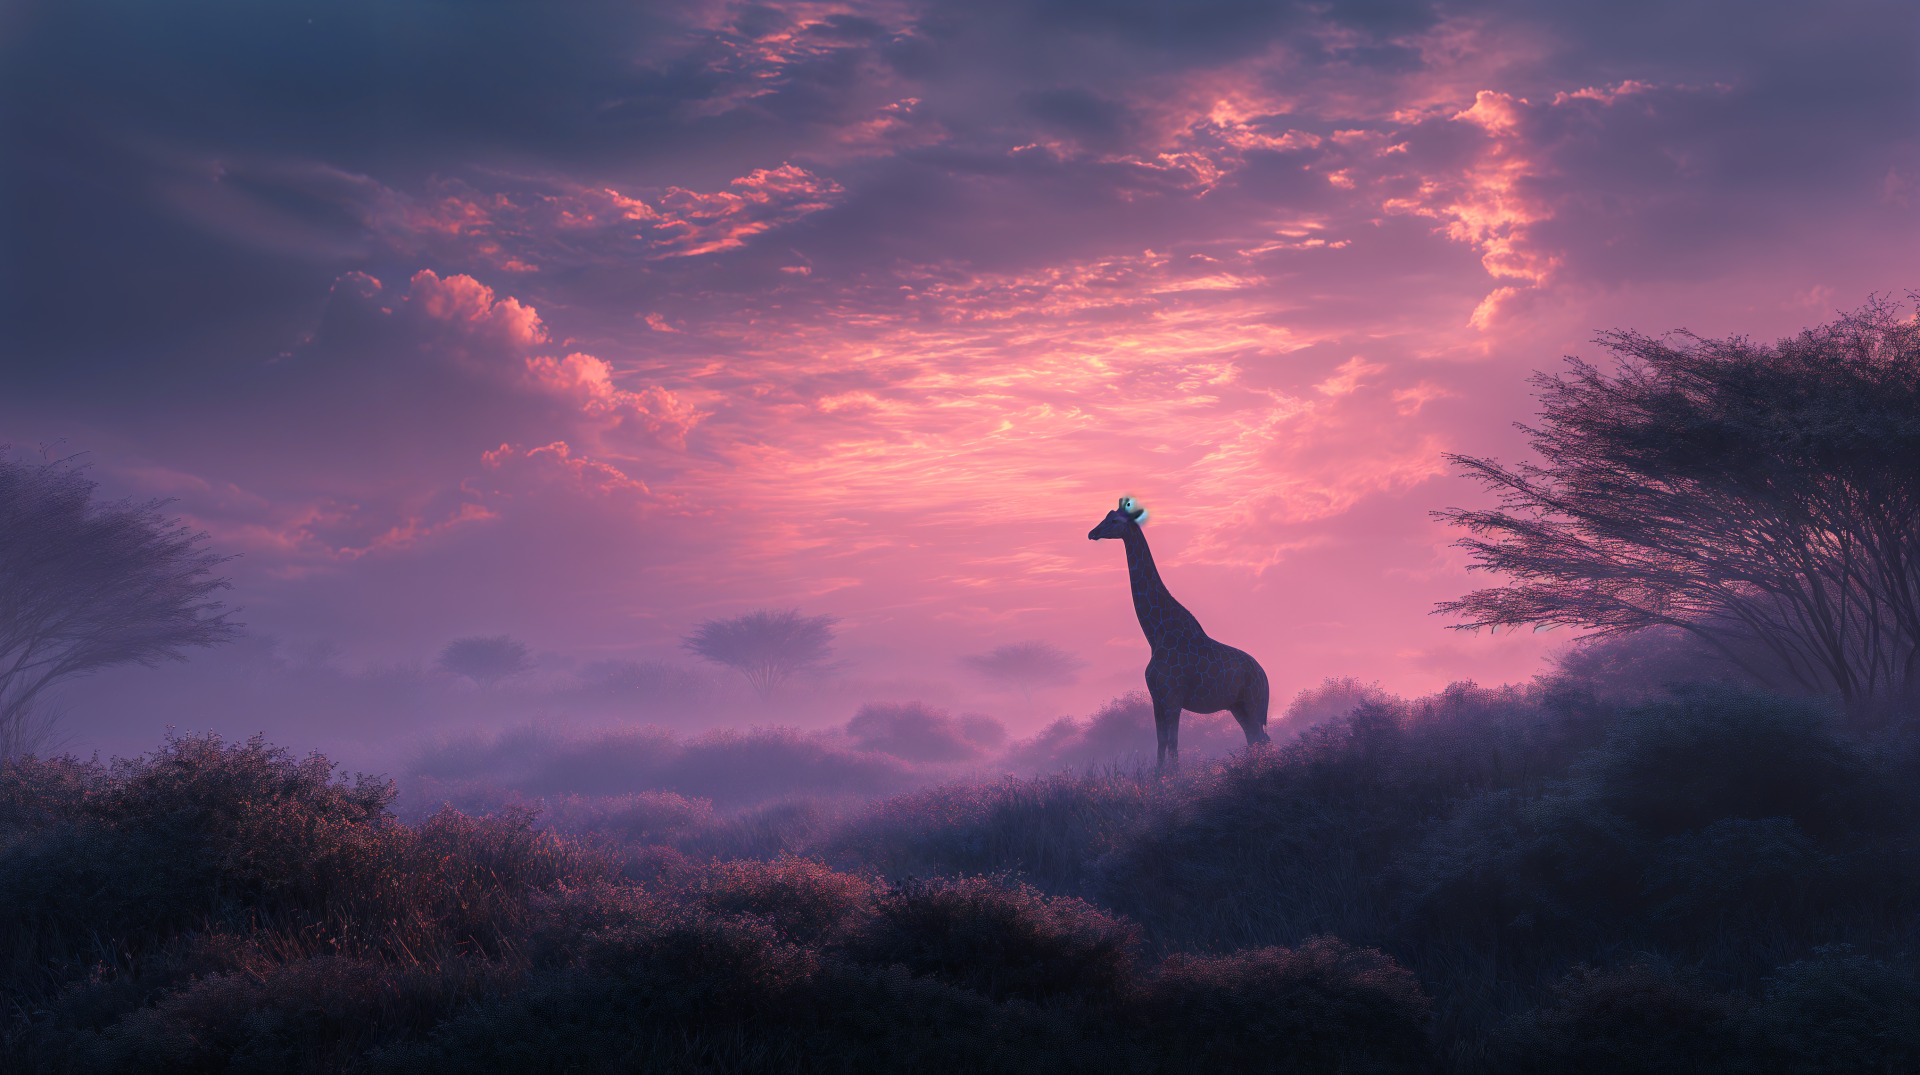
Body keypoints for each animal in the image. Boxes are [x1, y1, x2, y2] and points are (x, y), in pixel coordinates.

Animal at [1088, 497, 1271, 769]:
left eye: (1113, 520)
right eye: (1105, 517)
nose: (1092, 532)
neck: (1156, 633)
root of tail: (1264, 675)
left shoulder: (1172, 697)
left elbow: (1173, 743)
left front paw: (1175, 778)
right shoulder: (1157, 698)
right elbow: (1161, 743)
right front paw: (1160, 777)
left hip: (1253, 702)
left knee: (1260, 738)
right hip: (1237, 707)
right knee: (1255, 739)